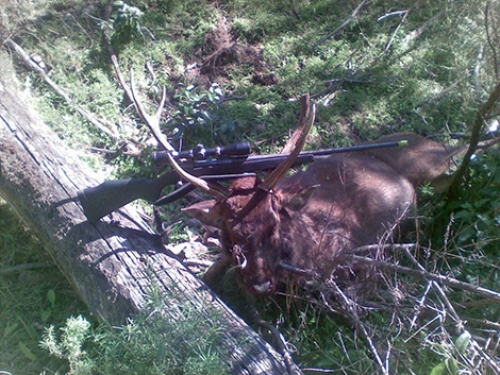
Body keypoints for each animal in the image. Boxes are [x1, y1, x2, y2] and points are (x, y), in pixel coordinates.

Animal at [183, 97, 460, 296]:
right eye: (231, 234)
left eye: (273, 225)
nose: (261, 285)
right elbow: (210, 272)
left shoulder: (342, 243)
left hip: (431, 163)